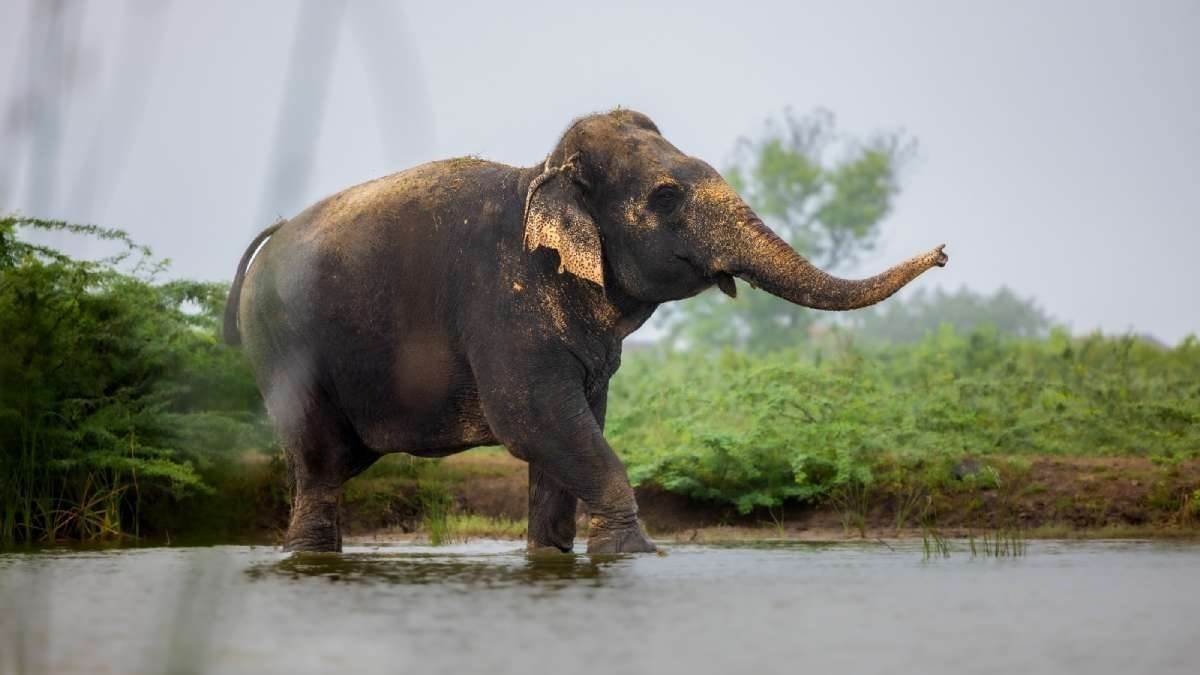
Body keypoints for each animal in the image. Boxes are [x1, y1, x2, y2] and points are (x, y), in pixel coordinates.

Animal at [223, 109, 947, 554]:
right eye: (665, 198)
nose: (944, 252)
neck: (543, 175)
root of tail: (271, 234)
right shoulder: (502, 309)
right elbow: (534, 421)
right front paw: (636, 552)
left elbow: (572, 431)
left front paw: (553, 556)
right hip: (284, 347)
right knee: (319, 463)